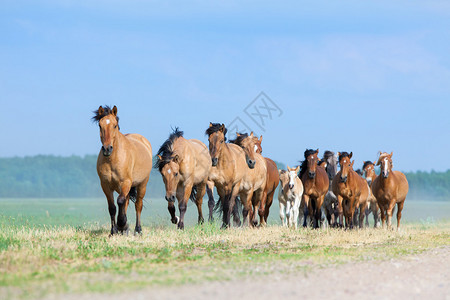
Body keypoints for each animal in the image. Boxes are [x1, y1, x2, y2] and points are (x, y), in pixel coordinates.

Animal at [93, 105, 153, 234]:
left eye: (115, 125)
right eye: (100, 125)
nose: (107, 149)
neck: (112, 160)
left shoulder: (125, 182)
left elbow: (120, 201)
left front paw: (122, 224)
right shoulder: (105, 185)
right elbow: (112, 207)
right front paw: (114, 231)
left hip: (142, 185)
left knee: (138, 205)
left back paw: (138, 230)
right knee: (126, 202)